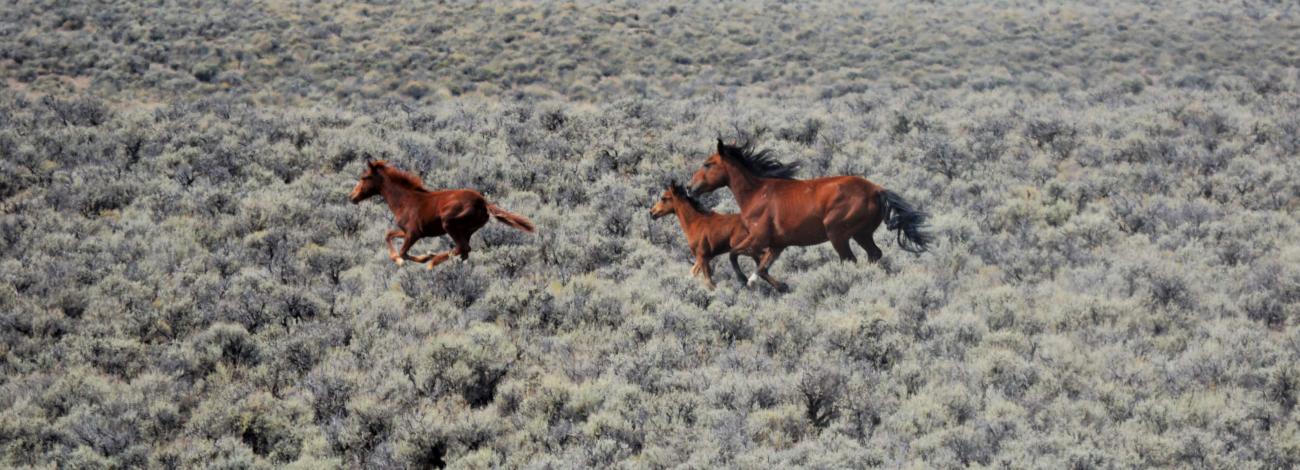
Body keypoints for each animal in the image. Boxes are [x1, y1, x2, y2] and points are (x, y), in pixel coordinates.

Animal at [349, 158, 535, 269]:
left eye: (364, 177)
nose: (352, 197)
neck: (405, 200)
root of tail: (483, 202)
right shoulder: (407, 231)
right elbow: (389, 235)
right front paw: (419, 257)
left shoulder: (414, 233)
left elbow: (403, 253)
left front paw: (421, 258)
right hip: (467, 230)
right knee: (465, 251)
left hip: (450, 224)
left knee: (462, 248)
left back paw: (433, 262)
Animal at [687, 139, 932, 291]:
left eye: (707, 164)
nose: (690, 188)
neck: (757, 193)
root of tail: (877, 189)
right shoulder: (777, 245)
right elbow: (762, 268)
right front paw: (779, 286)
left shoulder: (758, 238)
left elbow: (734, 255)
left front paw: (743, 280)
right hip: (862, 234)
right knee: (874, 254)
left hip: (838, 235)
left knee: (850, 260)